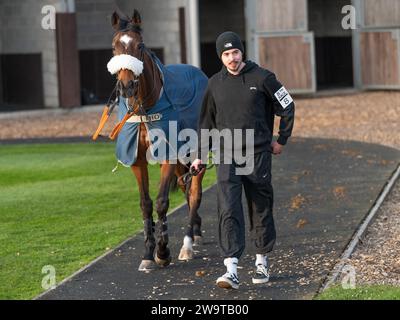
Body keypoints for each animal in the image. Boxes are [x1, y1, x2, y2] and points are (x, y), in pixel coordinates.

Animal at [93, 9, 206, 270]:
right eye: (114, 46)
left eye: (140, 45)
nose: (126, 85)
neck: (145, 109)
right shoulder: (136, 158)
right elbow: (145, 203)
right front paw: (148, 252)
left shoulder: (168, 153)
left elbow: (162, 201)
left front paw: (163, 252)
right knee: (185, 186)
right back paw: (195, 230)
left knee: (194, 192)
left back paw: (188, 243)